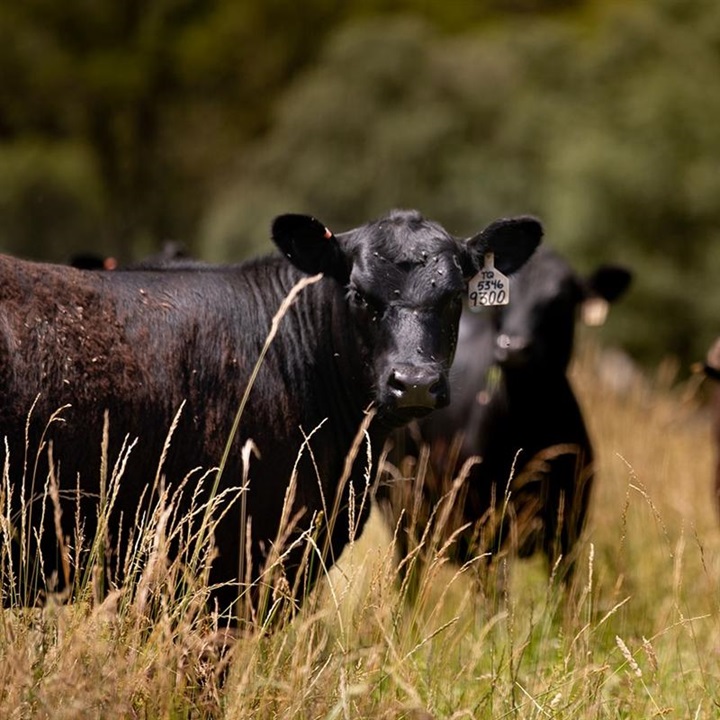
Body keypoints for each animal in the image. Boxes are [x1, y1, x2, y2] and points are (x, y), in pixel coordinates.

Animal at [376, 245, 632, 588]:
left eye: (561, 298)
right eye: (496, 298)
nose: (514, 348)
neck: (527, 427)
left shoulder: (568, 530)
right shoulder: (485, 529)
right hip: (404, 510)